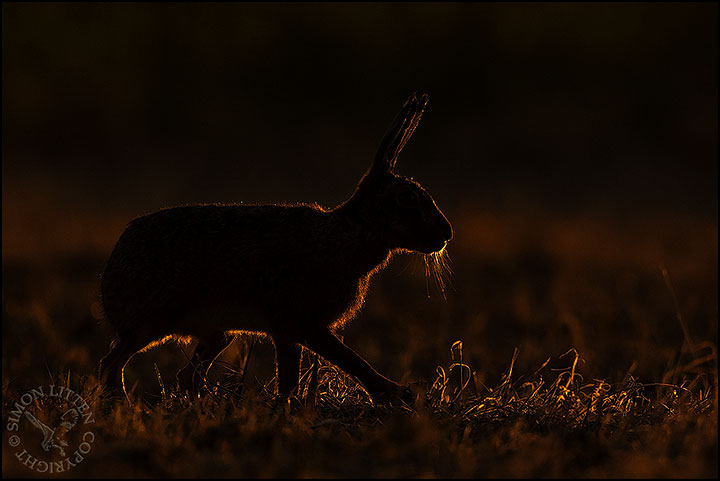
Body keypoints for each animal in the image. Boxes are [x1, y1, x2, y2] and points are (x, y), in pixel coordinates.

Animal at [97, 93, 453, 405]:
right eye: (406, 199)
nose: (446, 233)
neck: (350, 233)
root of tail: (113, 264)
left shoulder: (290, 331)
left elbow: (296, 376)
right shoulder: (298, 323)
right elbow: (346, 361)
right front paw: (396, 395)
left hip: (215, 332)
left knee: (186, 375)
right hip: (150, 322)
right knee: (113, 362)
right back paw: (120, 406)